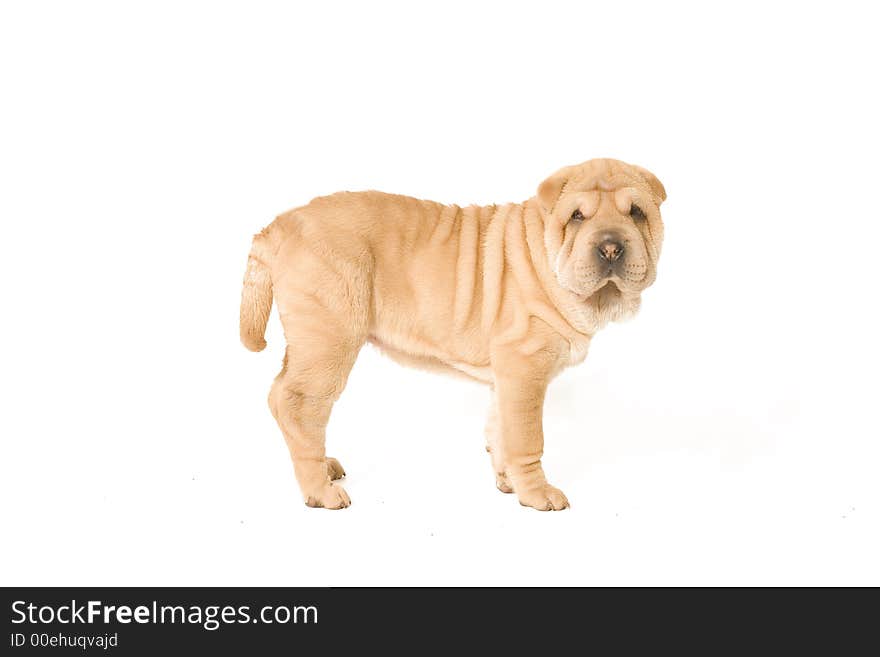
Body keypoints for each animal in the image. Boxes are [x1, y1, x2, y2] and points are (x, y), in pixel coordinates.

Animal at [241, 156, 668, 510]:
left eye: (637, 213)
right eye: (577, 217)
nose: (610, 248)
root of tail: (278, 226)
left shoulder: (507, 376)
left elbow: (500, 429)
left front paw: (507, 481)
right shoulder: (525, 368)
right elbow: (527, 438)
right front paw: (537, 494)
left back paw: (326, 467)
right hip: (330, 339)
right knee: (296, 403)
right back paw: (321, 491)